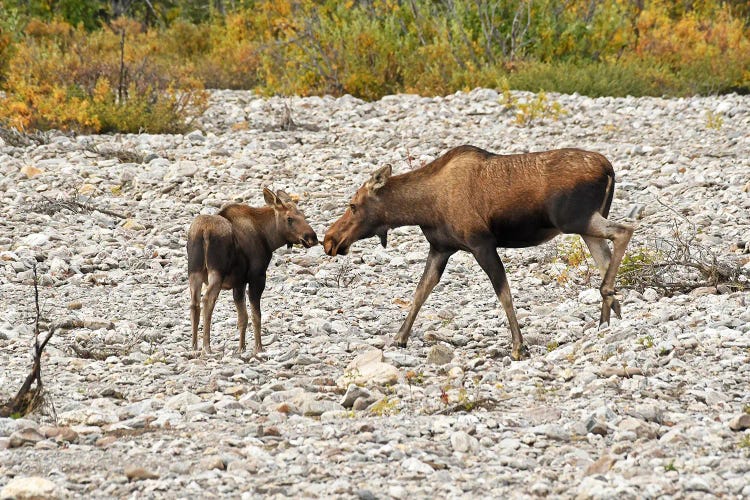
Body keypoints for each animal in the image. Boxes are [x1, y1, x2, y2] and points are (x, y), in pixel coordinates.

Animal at [187, 188, 318, 355]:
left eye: (303, 215)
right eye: (289, 218)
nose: (312, 238)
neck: (269, 238)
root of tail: (204, 231)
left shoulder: (239, 282)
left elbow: (243, 318)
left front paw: (241, 348)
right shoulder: (257, 276)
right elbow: (256, 315)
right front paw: (258, 348)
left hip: (194, 271)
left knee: (194, 304)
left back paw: (194, 346)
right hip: (216, 272)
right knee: (207, 300)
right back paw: (207, 347)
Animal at [323, 145, 634, 361]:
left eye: (353, 205)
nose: (330, 239)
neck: (424, 208)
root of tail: (609, 169)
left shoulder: (481, 243)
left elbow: (504, 293)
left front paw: (518, 346)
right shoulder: (441, 248)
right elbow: (420, 292)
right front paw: (399, 338)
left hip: (576, 220)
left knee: (624, 230)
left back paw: (608, 301)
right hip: (585, 226)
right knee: (606, 256)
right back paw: (609, 318)